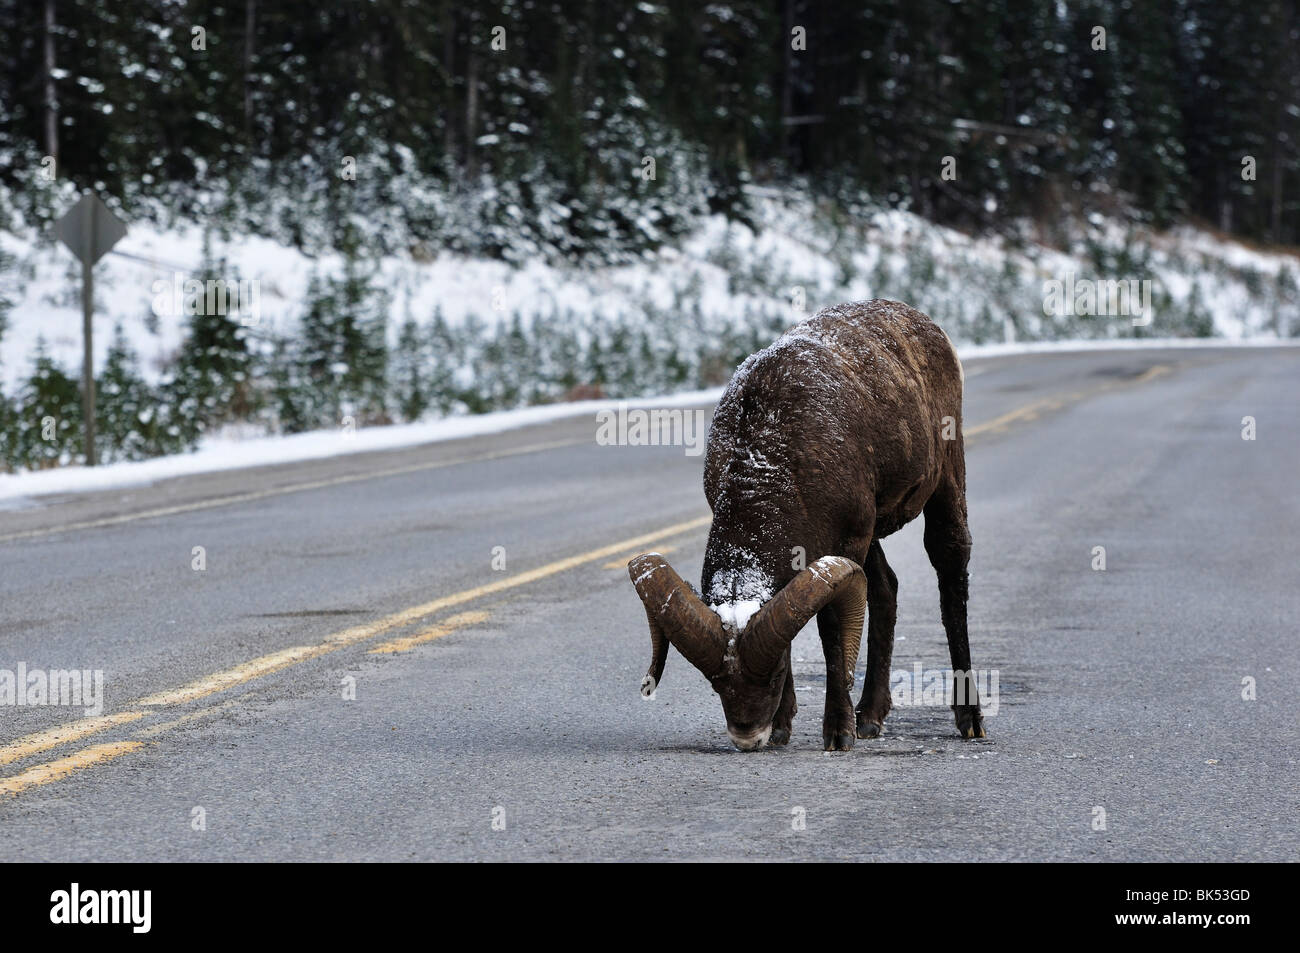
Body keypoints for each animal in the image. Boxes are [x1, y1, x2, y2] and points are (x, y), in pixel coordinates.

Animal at [629, 301, 982, 748]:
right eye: (715, 682)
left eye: (773, 673)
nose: (748, 737)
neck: (774, 456)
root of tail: (920, 321)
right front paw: (783, 727)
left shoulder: (844, 543)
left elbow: (832, 632)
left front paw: (838, 732)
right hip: (872, 536)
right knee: (886, 589)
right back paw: (871, 717)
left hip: (945, 485)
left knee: (950, 573)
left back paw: (970, 720)